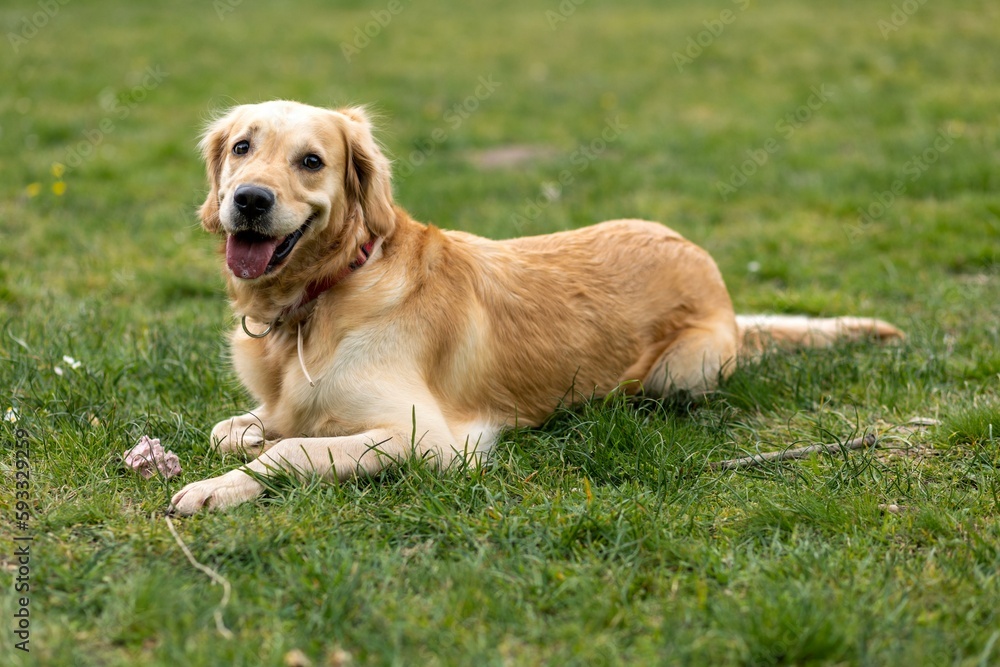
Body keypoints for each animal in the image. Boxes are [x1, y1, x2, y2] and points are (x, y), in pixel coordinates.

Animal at [168, 100, 904, 516]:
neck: (325, 294)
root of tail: (705, 263)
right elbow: (237, 428)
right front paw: (250, 438)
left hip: (681, 371)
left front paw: (216, 488)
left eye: (312, 161)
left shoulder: (429, 438)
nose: (250, 200)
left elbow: (295, 450)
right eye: (242, 147)